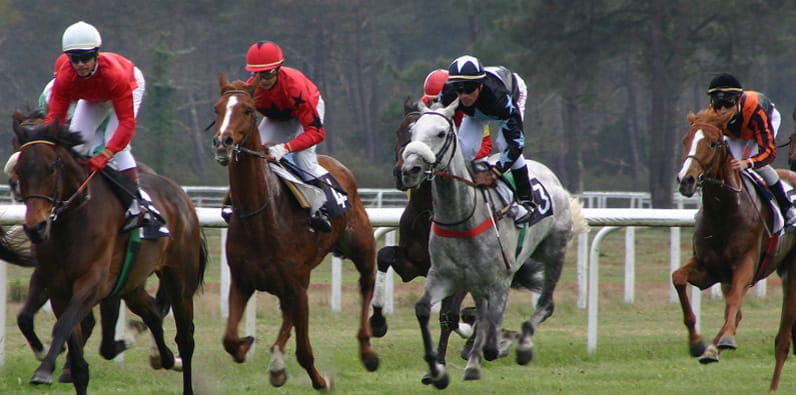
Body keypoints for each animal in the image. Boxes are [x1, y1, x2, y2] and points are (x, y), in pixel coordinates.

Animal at [12, 118, 207, 395]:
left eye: (51, 169)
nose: (35, 228)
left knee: (186, 338)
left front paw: (44, 370)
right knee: (152, 313)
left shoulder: (93, 282)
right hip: (132, 283)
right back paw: (162, 355)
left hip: (179, 280)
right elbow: (75, 353)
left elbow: (63, 325)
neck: (73, 220)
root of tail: (182, 197)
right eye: (19, 170)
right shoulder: (59, 288)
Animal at [211, 73, 380, 390]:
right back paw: (277, 361)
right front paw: (247, 344)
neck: (261, 216)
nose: (222, 142)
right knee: (288, 312)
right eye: (217, 109)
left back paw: (367, 351)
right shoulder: (242, 281)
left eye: (248, 110)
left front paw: (321, 381)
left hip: (361, 247)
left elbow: (304, 351)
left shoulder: (296, 285)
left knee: (367, 284)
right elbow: (228, 339)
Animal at [402, 98, 580, 386]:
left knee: (546, 304)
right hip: (478, 281)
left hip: (555, 250)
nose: (410, 170)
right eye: (412, 132)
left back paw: (521, 344)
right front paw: (436, 370)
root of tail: (551, 176)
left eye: (441, 133)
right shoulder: (443, 275)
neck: (462, 217)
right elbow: (423, 309)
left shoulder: (500, 282)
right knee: (485, 314)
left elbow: (491, 344)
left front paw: (503, 342)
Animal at [676, 106, 796, 392]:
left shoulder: (745, 266)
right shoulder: (708, 269)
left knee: (782, 338)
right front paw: (697, 343)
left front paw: (725, 340)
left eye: (712, 142)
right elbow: (678, 278)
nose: (685, 180)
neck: (724, 211)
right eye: (685, 140)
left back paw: (772, 386)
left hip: (792, 273)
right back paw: (712, 348)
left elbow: (733, 304)